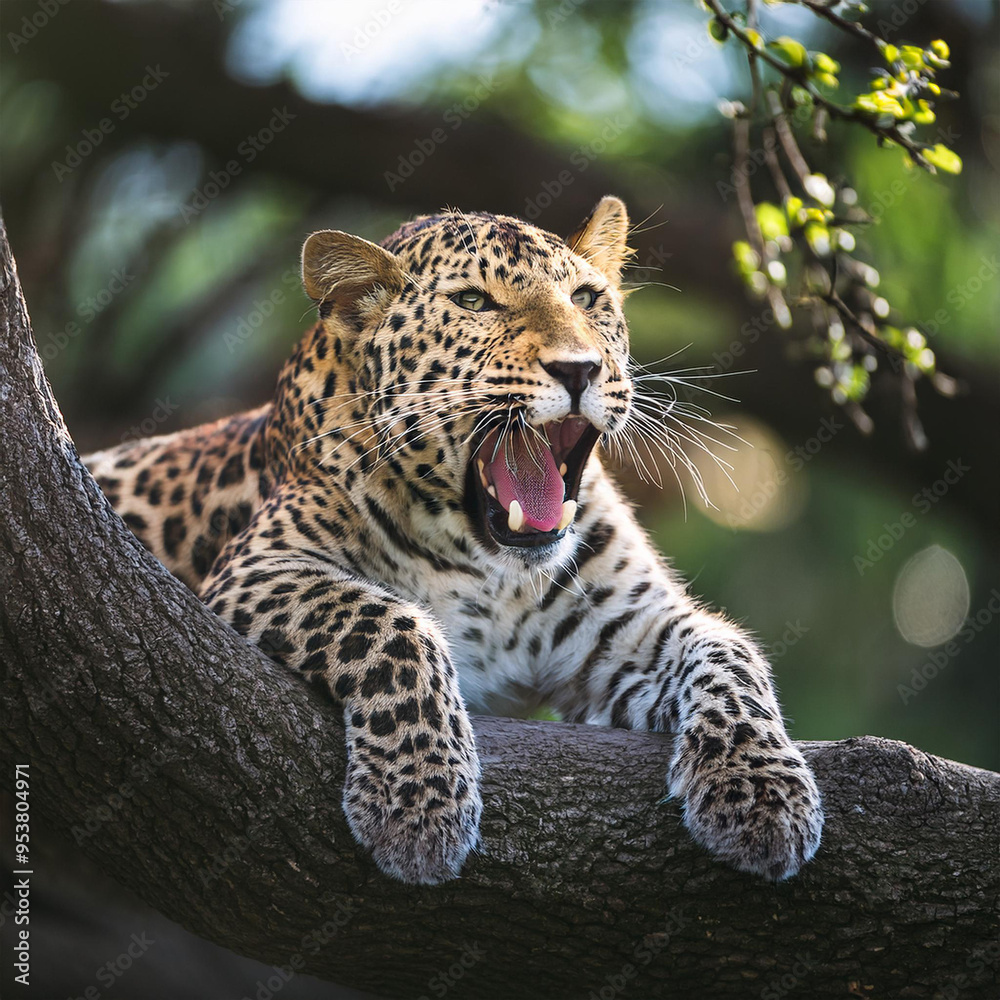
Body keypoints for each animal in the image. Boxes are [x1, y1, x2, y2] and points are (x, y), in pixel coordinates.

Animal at [83, 196, 824, 885]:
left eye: (588, 299)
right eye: (474, 302)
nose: (580, 369)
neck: (492, 567)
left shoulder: (629, 628)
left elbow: (729, 652)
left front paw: (763, 791)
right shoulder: (256, 569)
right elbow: (390, 622)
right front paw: (417, 804)